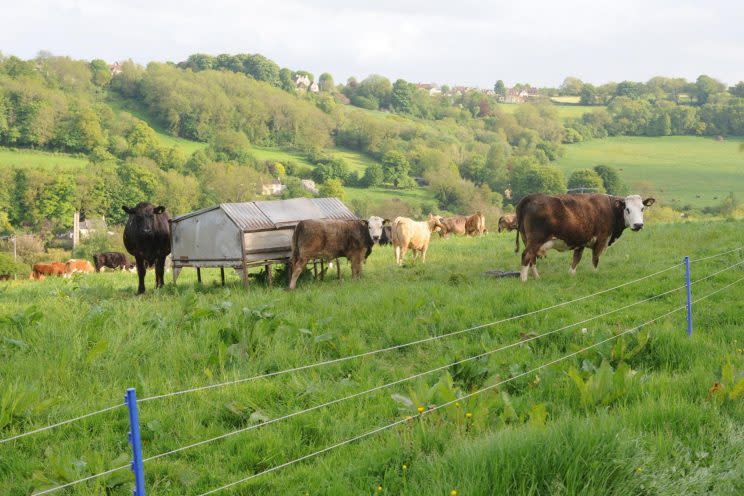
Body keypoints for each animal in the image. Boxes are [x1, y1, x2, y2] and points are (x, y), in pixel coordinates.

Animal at [516, 193, 652, 280]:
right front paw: (594, 273)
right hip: (535, 240)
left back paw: (536, 277)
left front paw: (571, 274)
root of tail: (531, 197)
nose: (638, 225)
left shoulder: (581, 240)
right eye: (627, 209)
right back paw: (524, 280)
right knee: (526, 255)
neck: (611, 209)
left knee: (532, 258)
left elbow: (576, 258)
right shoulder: (601, 239)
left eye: (642, 208)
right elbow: (595, 259)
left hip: (527, 239)